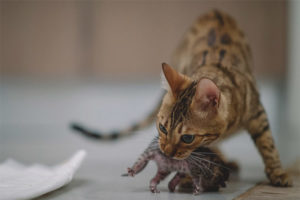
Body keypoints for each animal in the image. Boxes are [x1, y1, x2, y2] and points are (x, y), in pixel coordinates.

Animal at [71, 9, 292, 187]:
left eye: (187, 138)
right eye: (162, 128)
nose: (166, 152)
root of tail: (215, 11)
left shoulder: (256, 111)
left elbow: (268, 144)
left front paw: (278, 173)